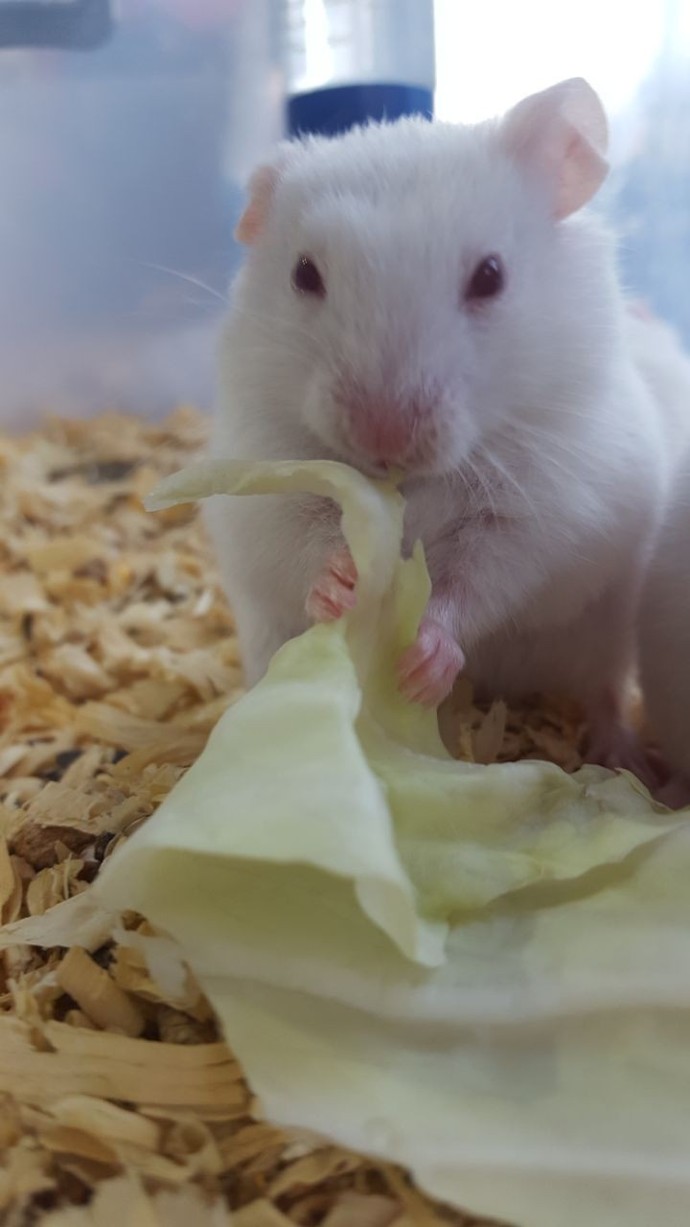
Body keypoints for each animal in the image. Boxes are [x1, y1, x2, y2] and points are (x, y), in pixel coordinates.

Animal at [205, 78, 689, 776]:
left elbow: (477, 580)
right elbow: (304, 540)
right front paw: (342, 590)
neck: (413, 485)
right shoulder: (266, 484)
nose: (383, 438)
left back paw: (624, 758)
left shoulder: (542, 514)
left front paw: (423, 663)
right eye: (303, 274)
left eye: (491, 276)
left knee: (600, 694)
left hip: (602, 638)